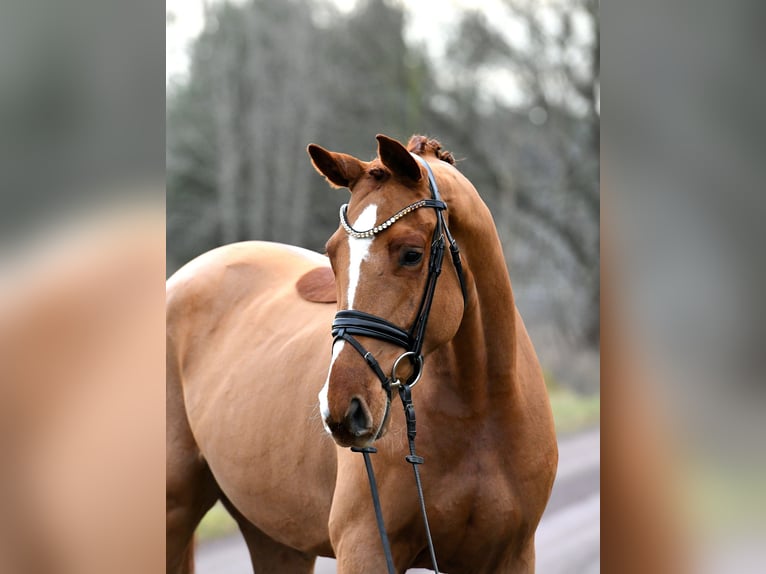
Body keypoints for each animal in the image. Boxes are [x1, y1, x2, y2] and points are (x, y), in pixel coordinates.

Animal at [166, 134, 558, 573]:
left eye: (411, 253)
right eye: (333, 253)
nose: (341, 407)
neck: (479, 410)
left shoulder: (513, 555)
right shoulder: (365, 548)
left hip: (275, 537)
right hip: (172, 513)